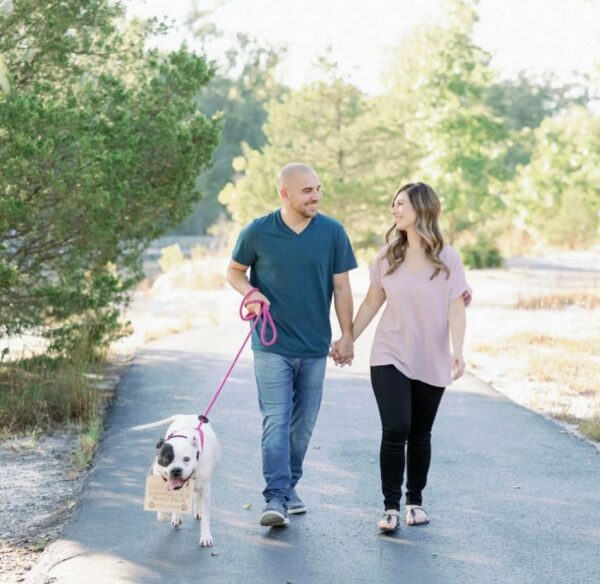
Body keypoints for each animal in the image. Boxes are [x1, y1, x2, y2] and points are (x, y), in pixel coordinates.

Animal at [132, 412, 221, 544]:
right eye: (166, 460)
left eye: (186, 459)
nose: (176, 470)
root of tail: (185, 415)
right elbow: (163, 513)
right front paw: (168, 514)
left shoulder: (205, 490)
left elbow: (206, 516)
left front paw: (205, 536)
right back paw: (176, 516)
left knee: (197, 495)